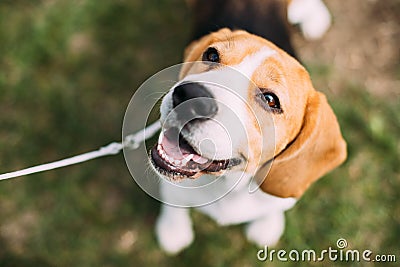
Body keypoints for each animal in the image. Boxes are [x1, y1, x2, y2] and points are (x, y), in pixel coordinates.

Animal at [148, 0, 346, 254]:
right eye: (212, 55)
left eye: (270, 100)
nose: (189, 96)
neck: (229, 184)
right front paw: (173, 230)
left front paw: (267, 226)